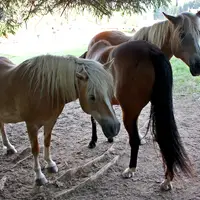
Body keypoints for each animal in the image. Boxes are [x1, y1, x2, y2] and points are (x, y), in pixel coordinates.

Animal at [0, 55, 119, 186]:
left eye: (110, 92)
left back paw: (9, 147)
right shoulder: (31, 126)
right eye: (92, 97)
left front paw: (50, 164)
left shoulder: (50, 122)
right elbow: (35, 149)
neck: (43, 89)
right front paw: (39, 176)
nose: (115, 128)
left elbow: (47, 142)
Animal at [83, 39, 192, 191]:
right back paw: (167, 179)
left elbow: (94, 118)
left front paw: (93, 141)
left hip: (129, 113)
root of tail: (151, 50)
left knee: (134, 140)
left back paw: (131, 169)